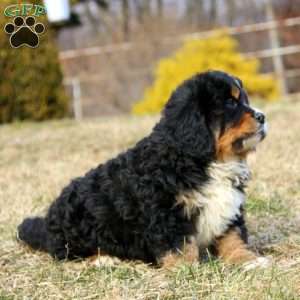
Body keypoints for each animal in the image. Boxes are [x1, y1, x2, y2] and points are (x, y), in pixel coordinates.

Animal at [17, 70, 268, 268]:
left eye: (244, 99)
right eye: (230, 103)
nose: (262, 116)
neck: (206, 161)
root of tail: (47, 224)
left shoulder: (228, 208)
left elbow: (233, 237)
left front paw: (248, 260)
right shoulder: (166, 211)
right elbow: (179, 245)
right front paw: (187, 269)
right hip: (79, 227)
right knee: (68, 254)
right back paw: (103, 259)